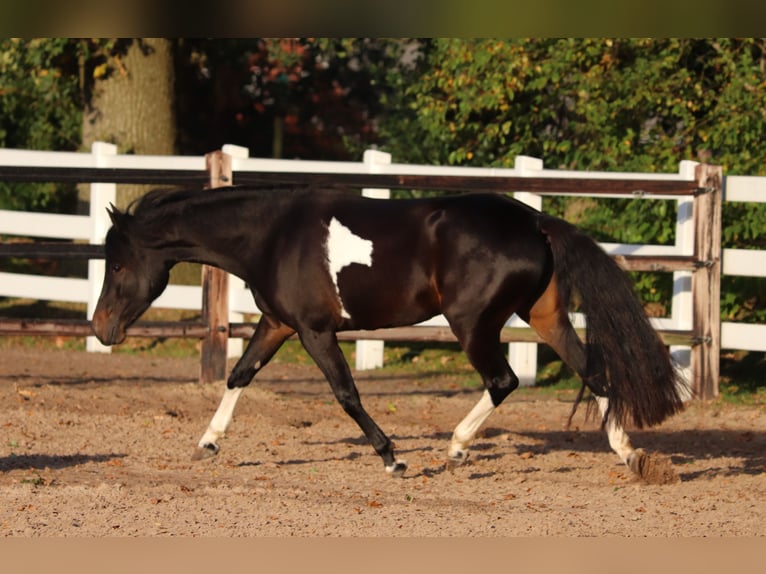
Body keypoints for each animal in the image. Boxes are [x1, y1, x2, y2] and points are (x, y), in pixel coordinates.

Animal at [91, 187, 688, 484]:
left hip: (473, 324)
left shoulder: (314, 331)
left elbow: (346, 395)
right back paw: (630, 455)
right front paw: (207, 443)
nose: (100, 330)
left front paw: (392, 458)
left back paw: (457, 449)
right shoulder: (278, 324)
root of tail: (535, 221)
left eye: (117, 264)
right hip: (544, 318)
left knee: (504, 381)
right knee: (593, 372)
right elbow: (239, 374)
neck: (271, 236)